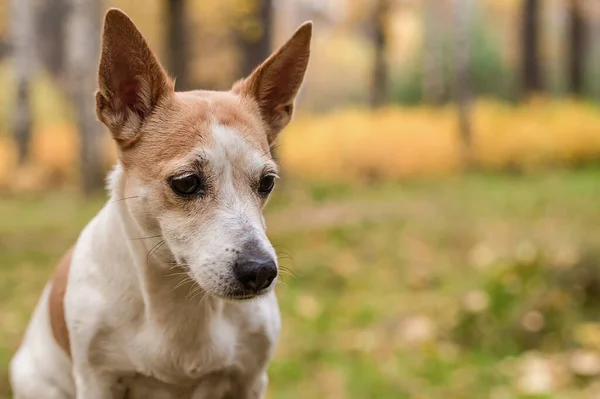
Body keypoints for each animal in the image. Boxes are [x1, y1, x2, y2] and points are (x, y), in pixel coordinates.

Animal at [9, 7, 312, 398]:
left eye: (267, 182)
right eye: (186, 182)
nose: (260, 271)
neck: (179, 298)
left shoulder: (250, 379)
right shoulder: (97, 381)